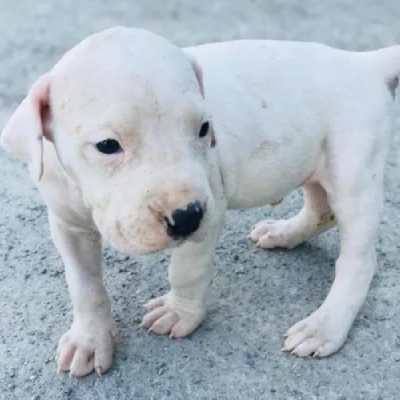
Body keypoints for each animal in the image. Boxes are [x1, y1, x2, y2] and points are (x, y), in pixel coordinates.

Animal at [0, 26, 400, 376]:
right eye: (107, 145)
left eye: (204, 129)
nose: (187, 217)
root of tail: (364, 63)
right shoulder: (67, 224)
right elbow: (84, 285)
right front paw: (88, 339)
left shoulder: (211, 207)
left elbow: (186, 270)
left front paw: (179, 313)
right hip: (317, 166)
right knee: (321, 210)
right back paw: (283, 233)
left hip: (354, 170)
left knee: (358, 259)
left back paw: (324, 326)